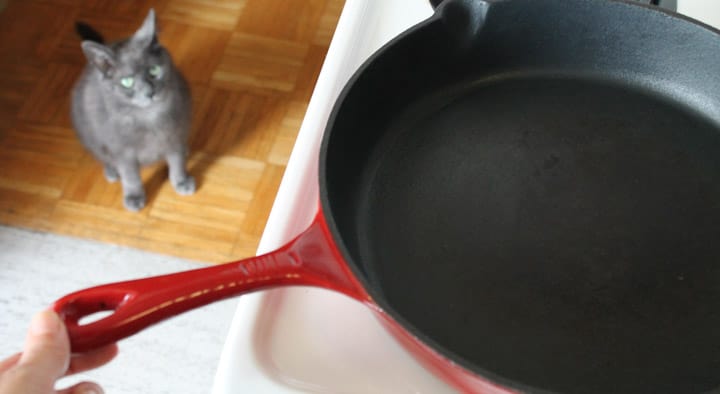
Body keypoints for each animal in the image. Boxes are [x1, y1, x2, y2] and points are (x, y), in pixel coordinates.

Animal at [71, 10, 194, 212]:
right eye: (127, 82)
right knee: (102, 155)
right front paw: (134, 196)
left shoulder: (174, 135)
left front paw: (181, 181)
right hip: (90, 135)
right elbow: (130, 175)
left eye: (154, 70)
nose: (150, 93)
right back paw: (111, 171)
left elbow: (176, 161)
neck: (148, 117)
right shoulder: (122, 151)